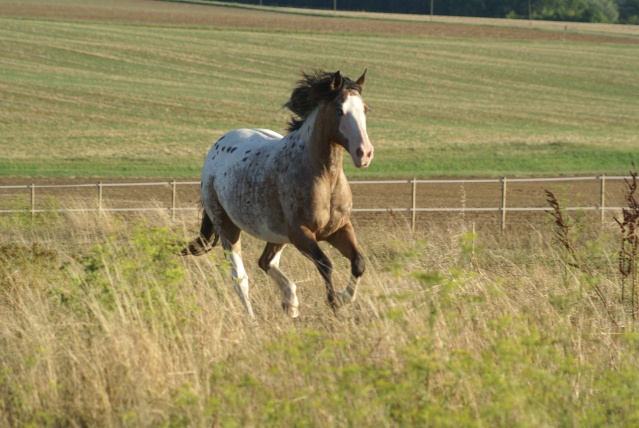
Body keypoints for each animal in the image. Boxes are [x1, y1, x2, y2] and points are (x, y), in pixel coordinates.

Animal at [184, 69, 376, 318]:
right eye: (339, 110)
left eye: (365, 109)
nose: (364, 153)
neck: (325, 178)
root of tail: (217, 147)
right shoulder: (301, 233)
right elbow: (325, 264)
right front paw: (334, 303)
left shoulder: (338, 228)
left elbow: (358, 262)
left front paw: (343, 297)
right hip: (227, 226)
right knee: (240, 278)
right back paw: (253, 319)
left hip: (277, 234)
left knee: (266, 262)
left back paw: (290, 302)